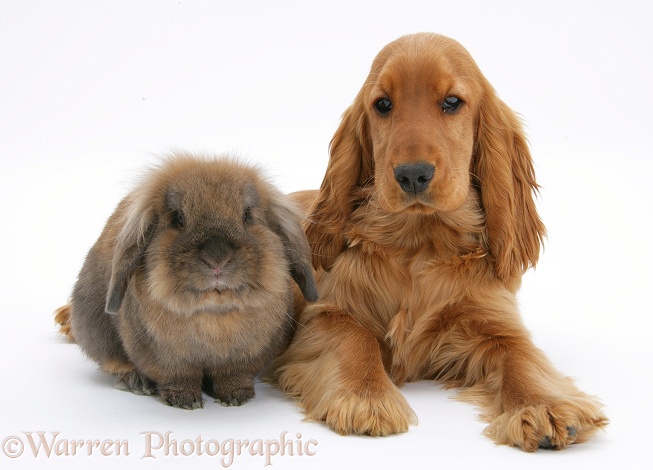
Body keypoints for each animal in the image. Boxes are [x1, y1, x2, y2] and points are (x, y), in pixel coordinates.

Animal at [56, 152, 318, 410]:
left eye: (247, 216)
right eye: (178, 219)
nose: (217, 259)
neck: (214, 313)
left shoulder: (245, 358)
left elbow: (233, 376)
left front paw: (236, 397)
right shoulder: (167, 359)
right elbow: (179, 377)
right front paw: (185, 400)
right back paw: (137, 382)